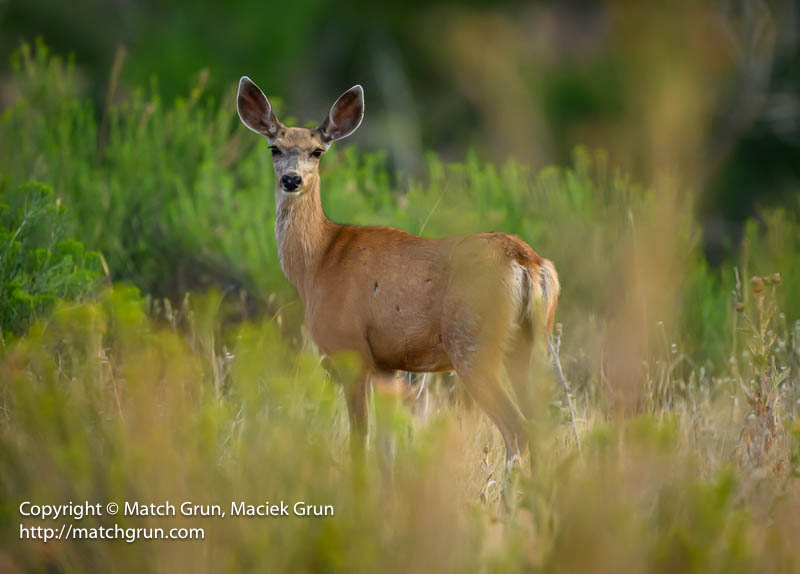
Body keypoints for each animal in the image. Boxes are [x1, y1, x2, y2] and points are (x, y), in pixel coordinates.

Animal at [234, 77, 560, 464]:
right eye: (274, 148)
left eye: (317, 151)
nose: (291, 179)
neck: (317, 262)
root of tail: (527, 261)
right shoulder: (388, 364)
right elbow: (386, 447)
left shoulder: (350, 347)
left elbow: (360, 438)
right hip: (529, 342)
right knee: (540, 428)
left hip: (473, 342)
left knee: (517, 429)